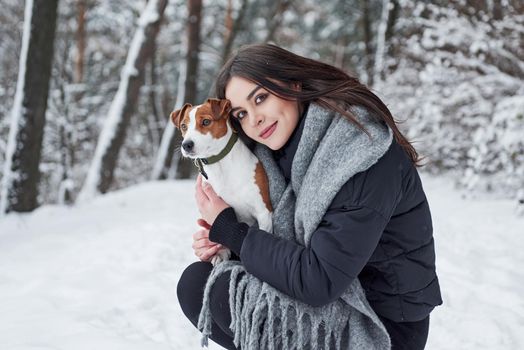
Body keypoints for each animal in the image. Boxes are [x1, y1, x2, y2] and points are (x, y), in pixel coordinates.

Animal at [171, 98, 274, 266]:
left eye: (206, 121)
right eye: (184, 126)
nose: (186, 145)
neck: (220, 165)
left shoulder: (263, 212)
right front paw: (221, 252)